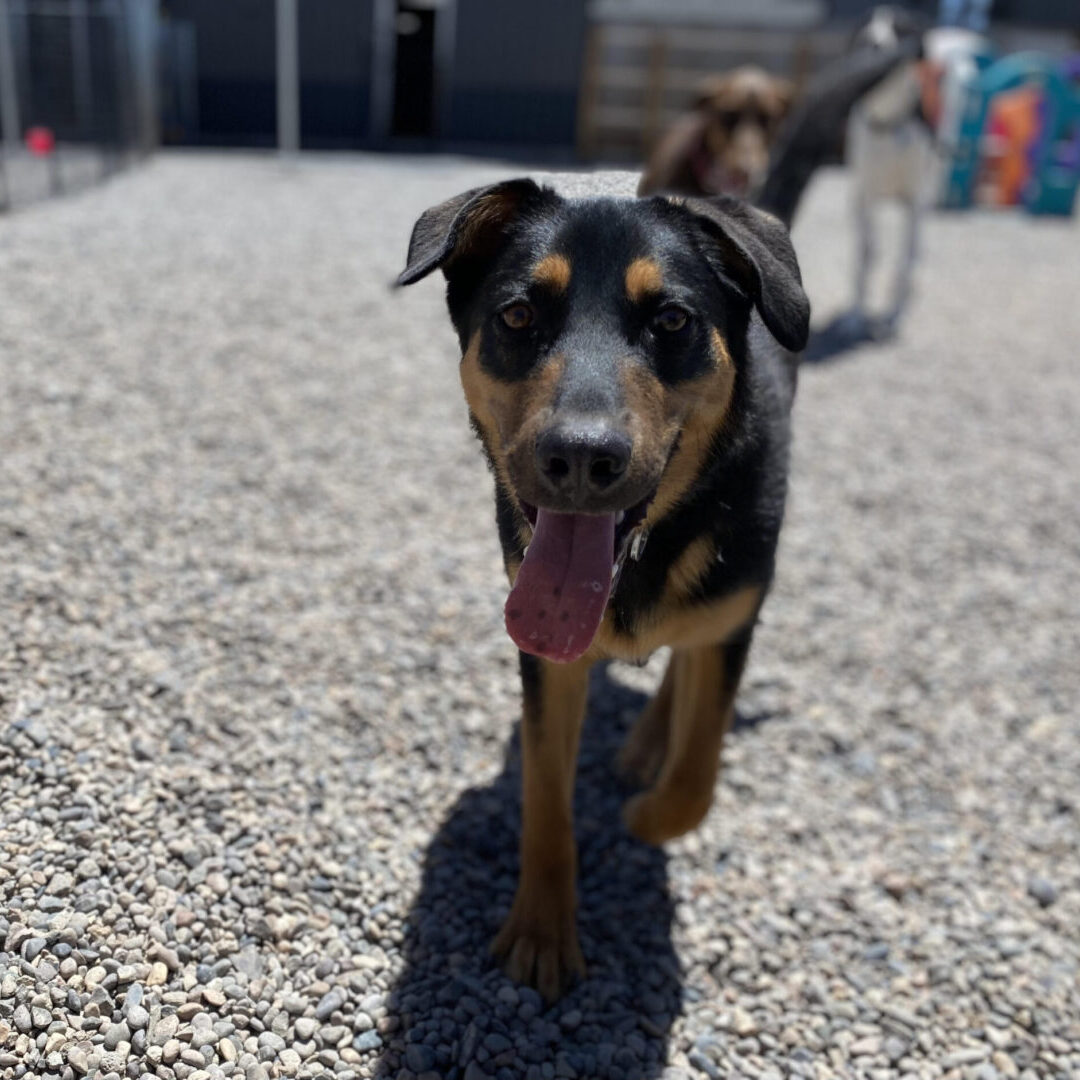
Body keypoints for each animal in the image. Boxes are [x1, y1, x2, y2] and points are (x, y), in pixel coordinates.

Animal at [393, 174, 807, 993]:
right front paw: (542, 931)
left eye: (673, 320)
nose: (581, 457)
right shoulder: (546, 656)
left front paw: (645, 818)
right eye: (518, 314)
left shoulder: (735, 614)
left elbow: (696, 776)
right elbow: (545, 793)